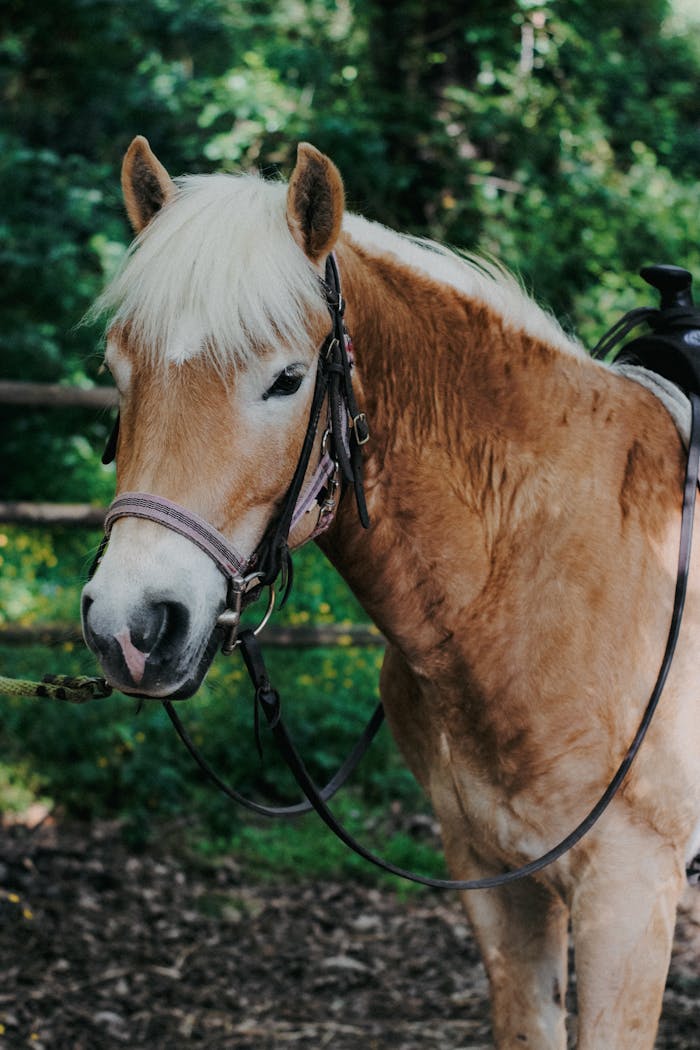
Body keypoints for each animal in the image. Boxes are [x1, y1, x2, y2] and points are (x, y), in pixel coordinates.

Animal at [81, 136, 700, 1049]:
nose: (132, 624)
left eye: (287, 380)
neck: (540, 565)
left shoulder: (630, 896)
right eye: (120, 372)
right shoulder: (499, 880)